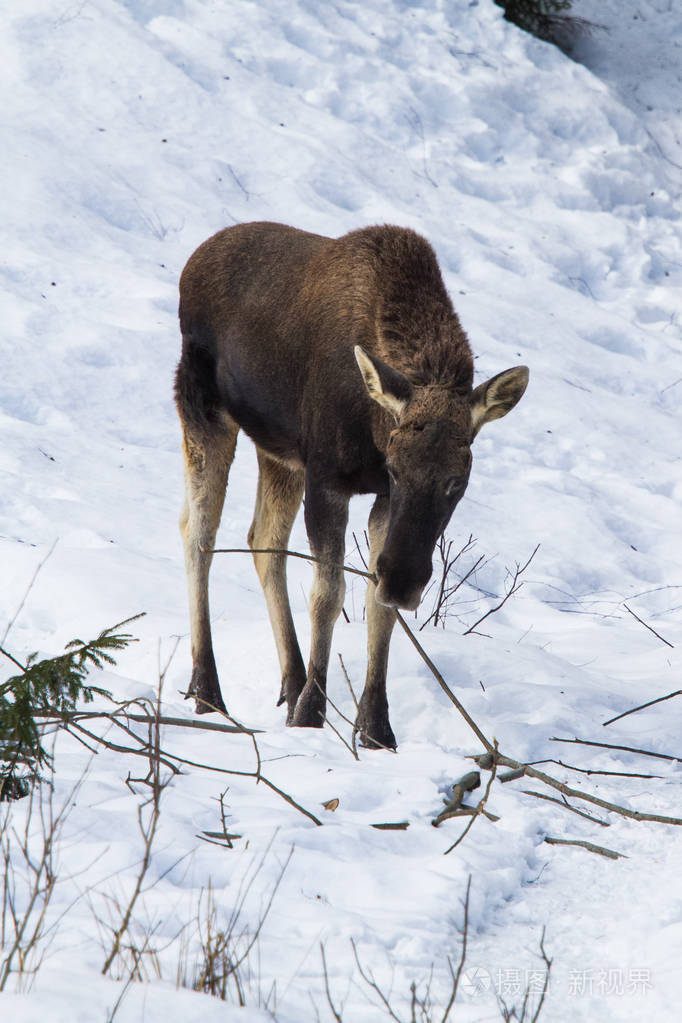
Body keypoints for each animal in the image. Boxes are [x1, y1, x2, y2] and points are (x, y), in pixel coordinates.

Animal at [175, 224, 527, 748]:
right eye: (397, 468)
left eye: (458, 482)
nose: (405, 580)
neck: (375, 427)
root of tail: (194, 261)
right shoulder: (329, 479)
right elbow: (328, 594)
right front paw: (311, 714)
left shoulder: (372, 495)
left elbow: (376, 605)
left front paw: (376, 728)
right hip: (203, 407)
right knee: (199, 534)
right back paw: (208, 691)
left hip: (279, 452)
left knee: (262, 539)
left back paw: (291, 683)